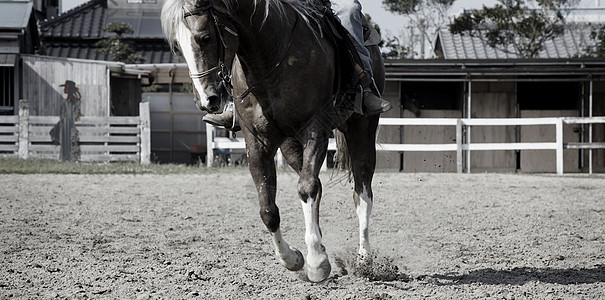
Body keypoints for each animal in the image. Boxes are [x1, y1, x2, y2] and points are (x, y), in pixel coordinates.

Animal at [160, 0, 384, 282]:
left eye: (205, 37)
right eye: (177, 46)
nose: (206, 100)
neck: (268, 58)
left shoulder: (315, 129)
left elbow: (307, 188)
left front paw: (317, 263)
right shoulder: (258, 143)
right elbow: (268, 209)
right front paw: (295, 258)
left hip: (362, 128)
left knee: (362, 191)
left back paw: (364, 259)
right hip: (289, 146)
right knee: (318, 186)